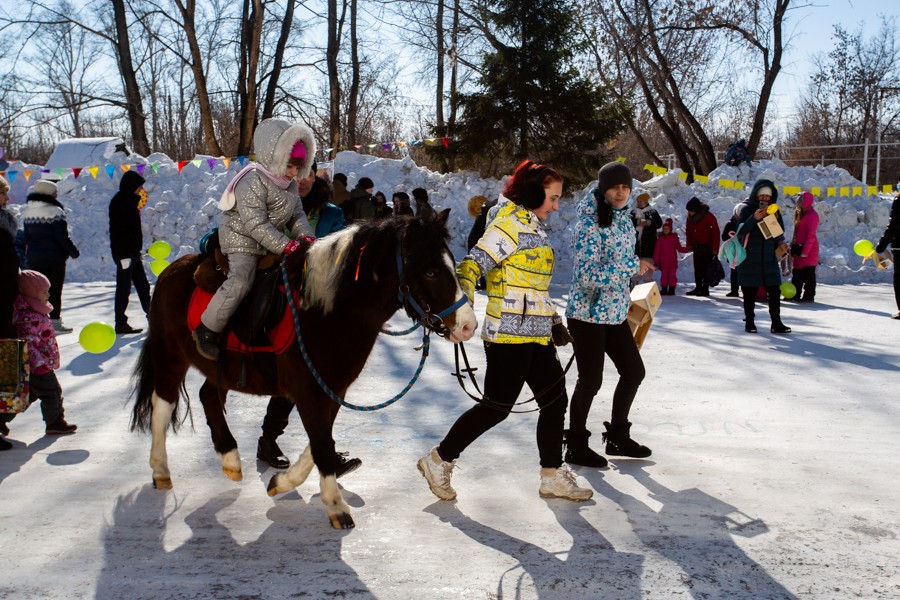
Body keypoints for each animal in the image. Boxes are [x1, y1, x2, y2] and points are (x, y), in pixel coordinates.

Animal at [131, 209, 478, 528]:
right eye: (430, 271)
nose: (468, 326)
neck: (326, 313)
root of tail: (170, 271)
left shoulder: (332, 388)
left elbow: (320, 440)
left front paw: (281, 482)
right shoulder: (309, 390)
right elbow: (321, 442)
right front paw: (336, 506)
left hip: (223, 370)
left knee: (208, 397)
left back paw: (230, 458)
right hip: (170, 357)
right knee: (162, 407)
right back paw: (160, 470)